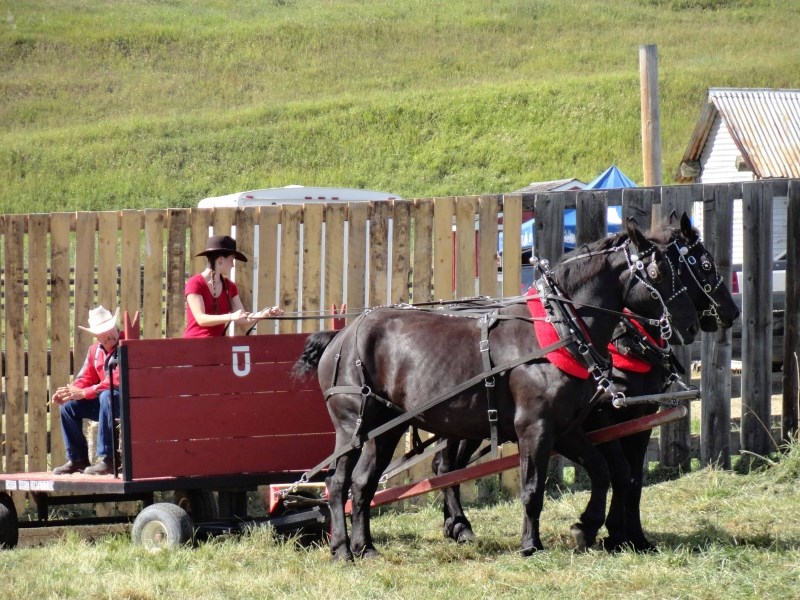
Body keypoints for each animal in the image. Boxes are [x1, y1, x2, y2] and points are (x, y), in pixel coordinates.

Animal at [296, 219, 700, 556]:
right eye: (661, 270)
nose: (694, 324)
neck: (557, 331)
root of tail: (340, 336)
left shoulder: (567, 427)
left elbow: (603, 471)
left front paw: (586, 528)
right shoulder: (536, 426)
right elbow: (534, 488)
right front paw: (532, 544)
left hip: (388, 428)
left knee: (364, 483)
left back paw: (366, 547)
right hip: (354, 426)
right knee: (338, 483)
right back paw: (342, 548)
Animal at [432, 211, 736, 548]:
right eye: (704, 264)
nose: (731, 312)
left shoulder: (641, 416)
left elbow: (633, 478)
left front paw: (633, 536)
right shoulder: (599, 419)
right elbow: (619, 472)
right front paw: (605, 529)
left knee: (450, 466)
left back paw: (453, 524)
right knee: (445, 465)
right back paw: (460, 524)